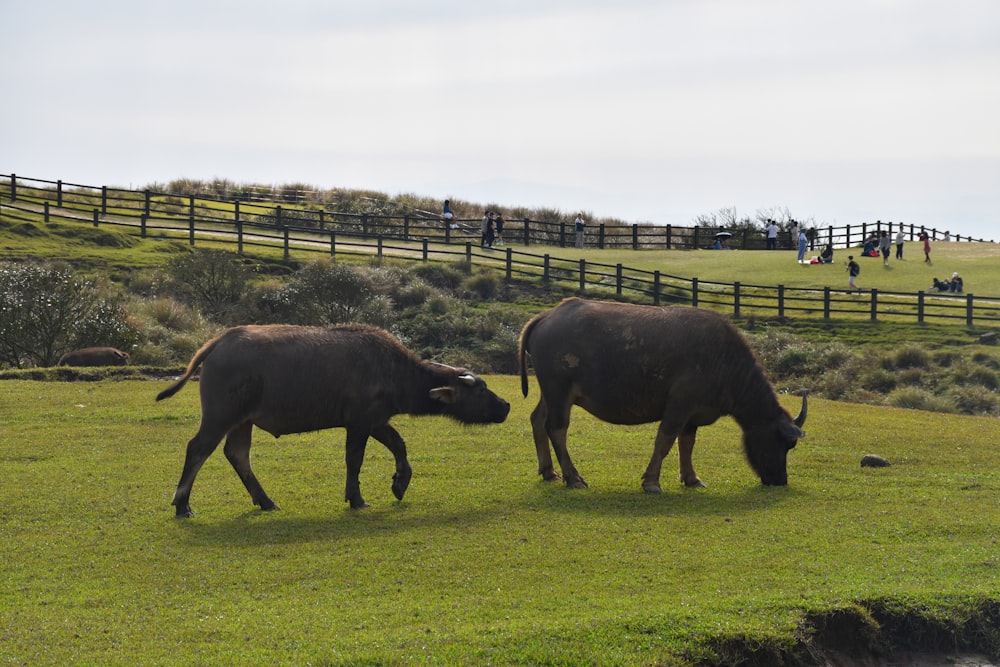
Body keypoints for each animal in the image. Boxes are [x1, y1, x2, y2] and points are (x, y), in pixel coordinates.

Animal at [161, 324, 516, 516]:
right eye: (481, 390)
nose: (506, 405)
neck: (393, 369)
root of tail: (219, 342)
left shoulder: (375, 420)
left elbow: (398, 444)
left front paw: (400, 482)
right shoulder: (359, 423)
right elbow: (354, 459)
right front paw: (356, 498)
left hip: (242, 421)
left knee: (237, 454)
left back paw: (265, 501)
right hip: (220, 415)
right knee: (198, 449)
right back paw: (182, 504)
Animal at [520, 300, 808, 494]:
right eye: (783, 443)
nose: (780, 480)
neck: (723, 360)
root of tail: (547, 315)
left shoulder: (692, 415)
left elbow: (687, 444)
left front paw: (692, 478)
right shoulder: (679, 406)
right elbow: (665, 441)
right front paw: (651, 482)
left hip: (550, 393)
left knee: (537, 420)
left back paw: (549, 471)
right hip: (559, 392)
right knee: (557, 429)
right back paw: (573, 478)